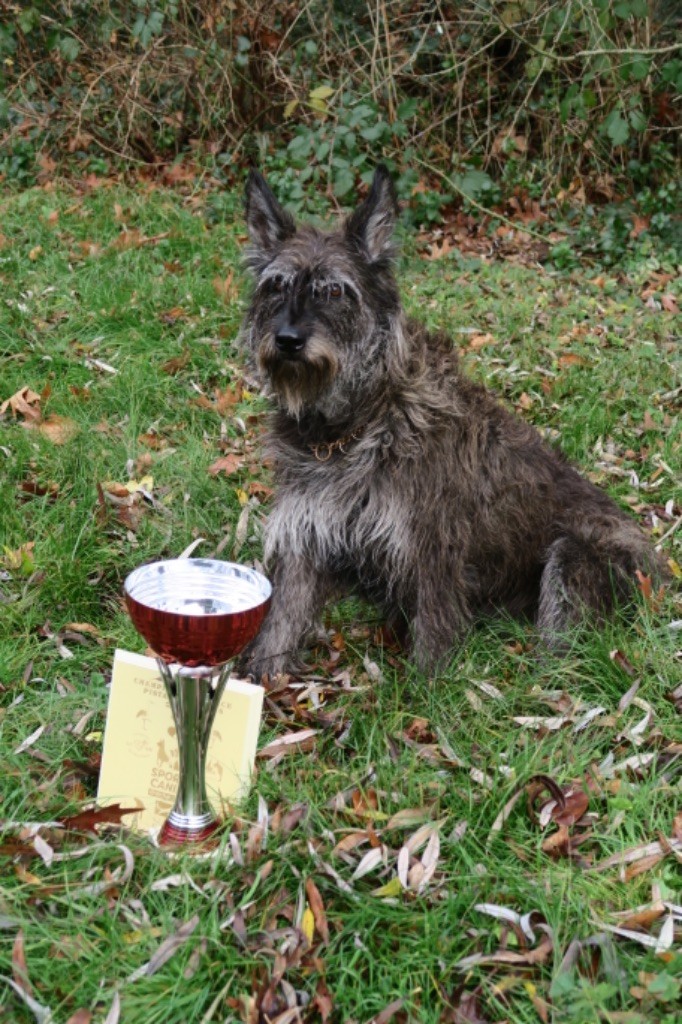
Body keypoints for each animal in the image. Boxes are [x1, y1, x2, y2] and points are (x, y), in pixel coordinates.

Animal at [238, 165, 659, 679]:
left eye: (335, 291)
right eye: (276, 286)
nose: (288, 340)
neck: (356, 421)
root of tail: (664, 574)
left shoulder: (433, 549)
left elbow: (433, 642)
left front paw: (426, 695)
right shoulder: (308, 532)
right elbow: (282, 620)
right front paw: (258, 678)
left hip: (572, 556)